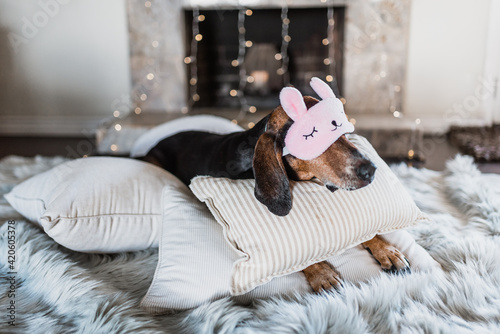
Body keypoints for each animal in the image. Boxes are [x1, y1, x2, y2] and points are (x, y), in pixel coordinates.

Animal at [142, 79, 410, 292]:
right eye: (312, 136)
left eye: (342, 131)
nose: (371, 170)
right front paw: (321, 272)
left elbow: (369, 231)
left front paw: (385, 249)